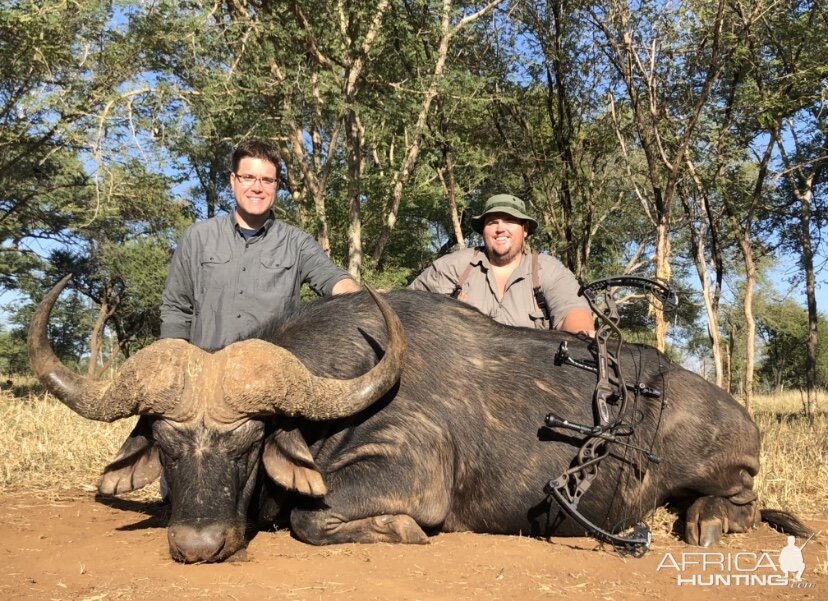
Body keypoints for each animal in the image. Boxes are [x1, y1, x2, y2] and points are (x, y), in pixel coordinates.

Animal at [29, 276, 804, 564]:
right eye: (166, 441)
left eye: (249, 442)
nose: (196, 546)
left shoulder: (407, 470)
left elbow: (312, 517)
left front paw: (398, 530)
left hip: (720, 463)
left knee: (741, 499)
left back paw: (704, 521)